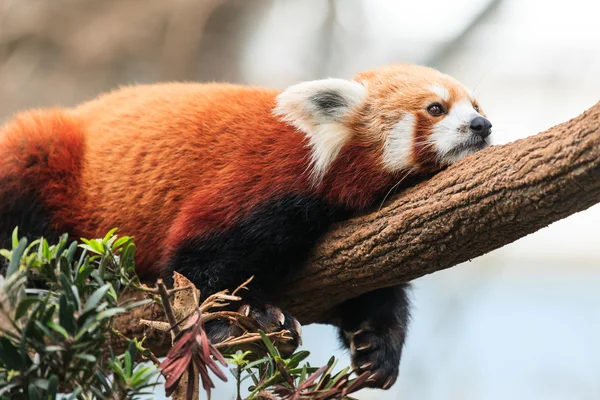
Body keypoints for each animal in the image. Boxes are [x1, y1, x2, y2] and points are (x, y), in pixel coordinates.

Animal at [0, 64, 492, 390]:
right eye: (436, 108)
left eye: (475, 104)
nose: (482, 125)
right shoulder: (262, 183)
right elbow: (196, 262)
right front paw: (247, 317)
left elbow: (375, 289)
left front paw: (377, 347)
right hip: (40, 161)